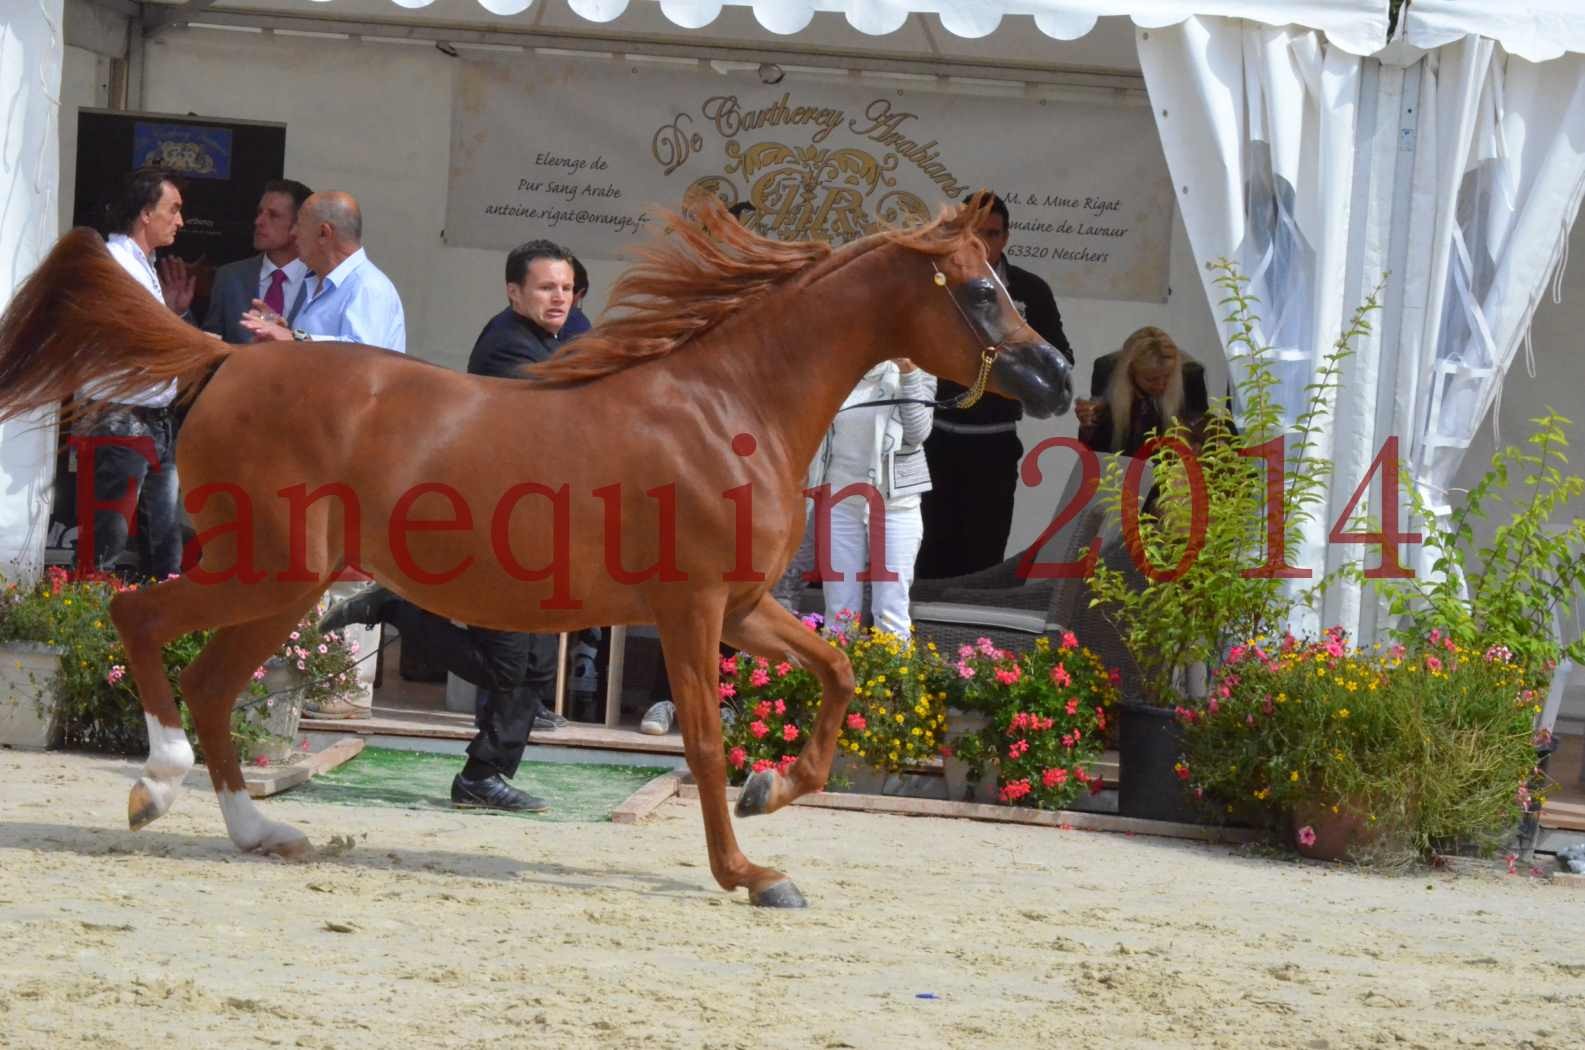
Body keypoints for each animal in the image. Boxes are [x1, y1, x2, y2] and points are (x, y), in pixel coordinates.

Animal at [0, 201, 1071, 907]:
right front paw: (749, 872)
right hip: (264, 571)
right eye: (983, 292)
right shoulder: (690, 611)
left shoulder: (742, 608)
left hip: (284, 588)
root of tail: (228, 358)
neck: (730, 404)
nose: (1054, 376)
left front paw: (772, 795)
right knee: (137, 617)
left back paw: (263, 830)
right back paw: (156, 784)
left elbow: (840, 672)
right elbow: (704, 740)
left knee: (214, 682)